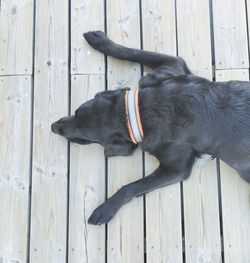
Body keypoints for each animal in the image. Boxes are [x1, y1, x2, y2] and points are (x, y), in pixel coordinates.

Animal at [51, 30, 250, 225]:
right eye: (76, 112)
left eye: (85, 136)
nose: (54, 127)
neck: (139, 112)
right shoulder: (172, 65)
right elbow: (134, 52)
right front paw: (100, 41)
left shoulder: (176, 169)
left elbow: (130, 187)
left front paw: (105, 209)